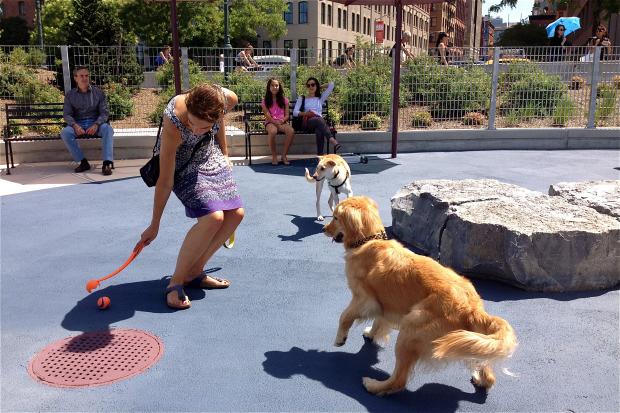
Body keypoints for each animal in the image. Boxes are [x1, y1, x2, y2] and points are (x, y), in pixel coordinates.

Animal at [322, 196, 516, 396]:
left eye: (335, 217)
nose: (323, 229)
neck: (368, 241)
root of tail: (472, 308)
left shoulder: (364, 299)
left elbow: (345, 316)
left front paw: (340, 339)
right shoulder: (386, 304)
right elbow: (379, 321)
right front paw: (371, 334)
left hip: (411, 327)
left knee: (399, 380)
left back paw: (374, 385)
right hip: (467, 338)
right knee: (487, 371)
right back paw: (481, 378)